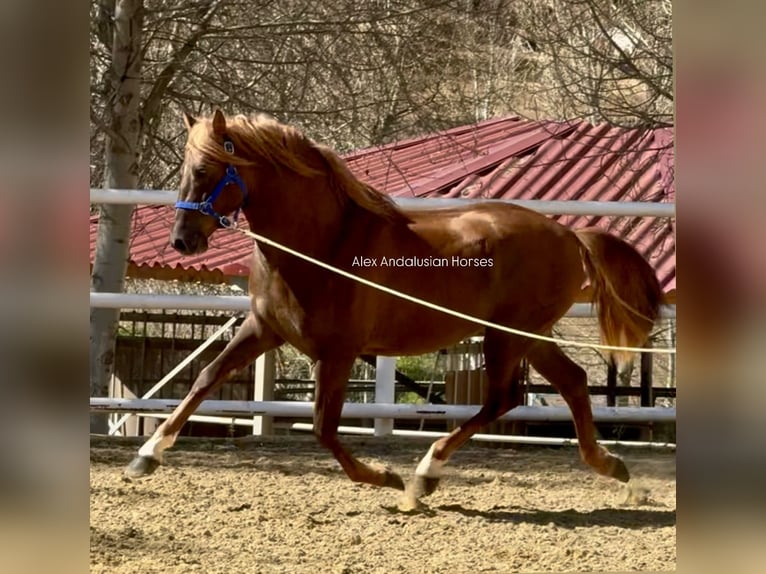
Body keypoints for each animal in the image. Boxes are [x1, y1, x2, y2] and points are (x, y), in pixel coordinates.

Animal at [124, 110, 660, 502]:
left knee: (505, 398)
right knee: (568, 382)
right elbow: (205, 379)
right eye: (185, 171)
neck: (321, 244)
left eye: (205, 170)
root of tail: (569, 232)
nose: (181, 241)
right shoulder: (262, 329)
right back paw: (612, 468)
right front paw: (146, 455)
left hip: (508, 334)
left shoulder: (338, 353)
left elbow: (323, 428)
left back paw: (424, 475)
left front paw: (386, 477)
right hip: (528, 335)